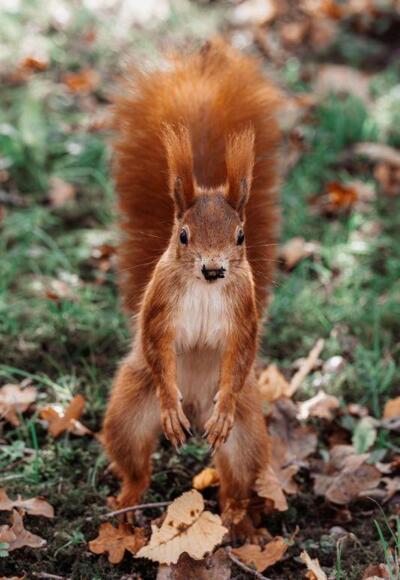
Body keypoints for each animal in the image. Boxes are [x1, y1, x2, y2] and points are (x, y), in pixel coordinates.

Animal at [103, 40, 281, 539]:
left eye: (240, 236)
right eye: (183, 235)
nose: (214, 269)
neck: (203, 289)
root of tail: (198, 403)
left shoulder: (243, 312)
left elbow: (241, 350)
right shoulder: (160, 305)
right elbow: (157, 343)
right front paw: (169, 402)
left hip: (247, 430)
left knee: (236, 478)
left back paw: (240, 523)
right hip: (129, 410)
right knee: (135, 464)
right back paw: (127, 505)